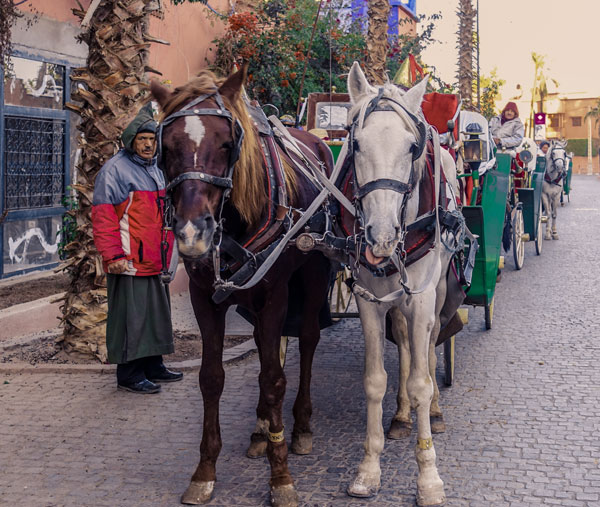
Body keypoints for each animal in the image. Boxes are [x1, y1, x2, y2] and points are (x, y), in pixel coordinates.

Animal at [151, 65, 332, 506]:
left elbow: (273, 379)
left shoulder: (276, 295)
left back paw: (299, 426)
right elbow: (211, 377)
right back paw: (261, 429)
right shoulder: (204, 297)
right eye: (167, 147)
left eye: (227, 143)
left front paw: (280, 475)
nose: (192, 232)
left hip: (314, 273)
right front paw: (205, 470)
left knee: (307, 338)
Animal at [342, 61, 468, 506]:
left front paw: (428, 477)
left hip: (439, 291)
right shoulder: (368, 300)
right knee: (403, 342)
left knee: (427, 346)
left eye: (413, 149)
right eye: (355, 144)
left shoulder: (424, 298)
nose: (381, 236)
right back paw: (399, 416)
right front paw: (369, 468)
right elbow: (375, 380)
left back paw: (432, 411)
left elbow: (420, 382)